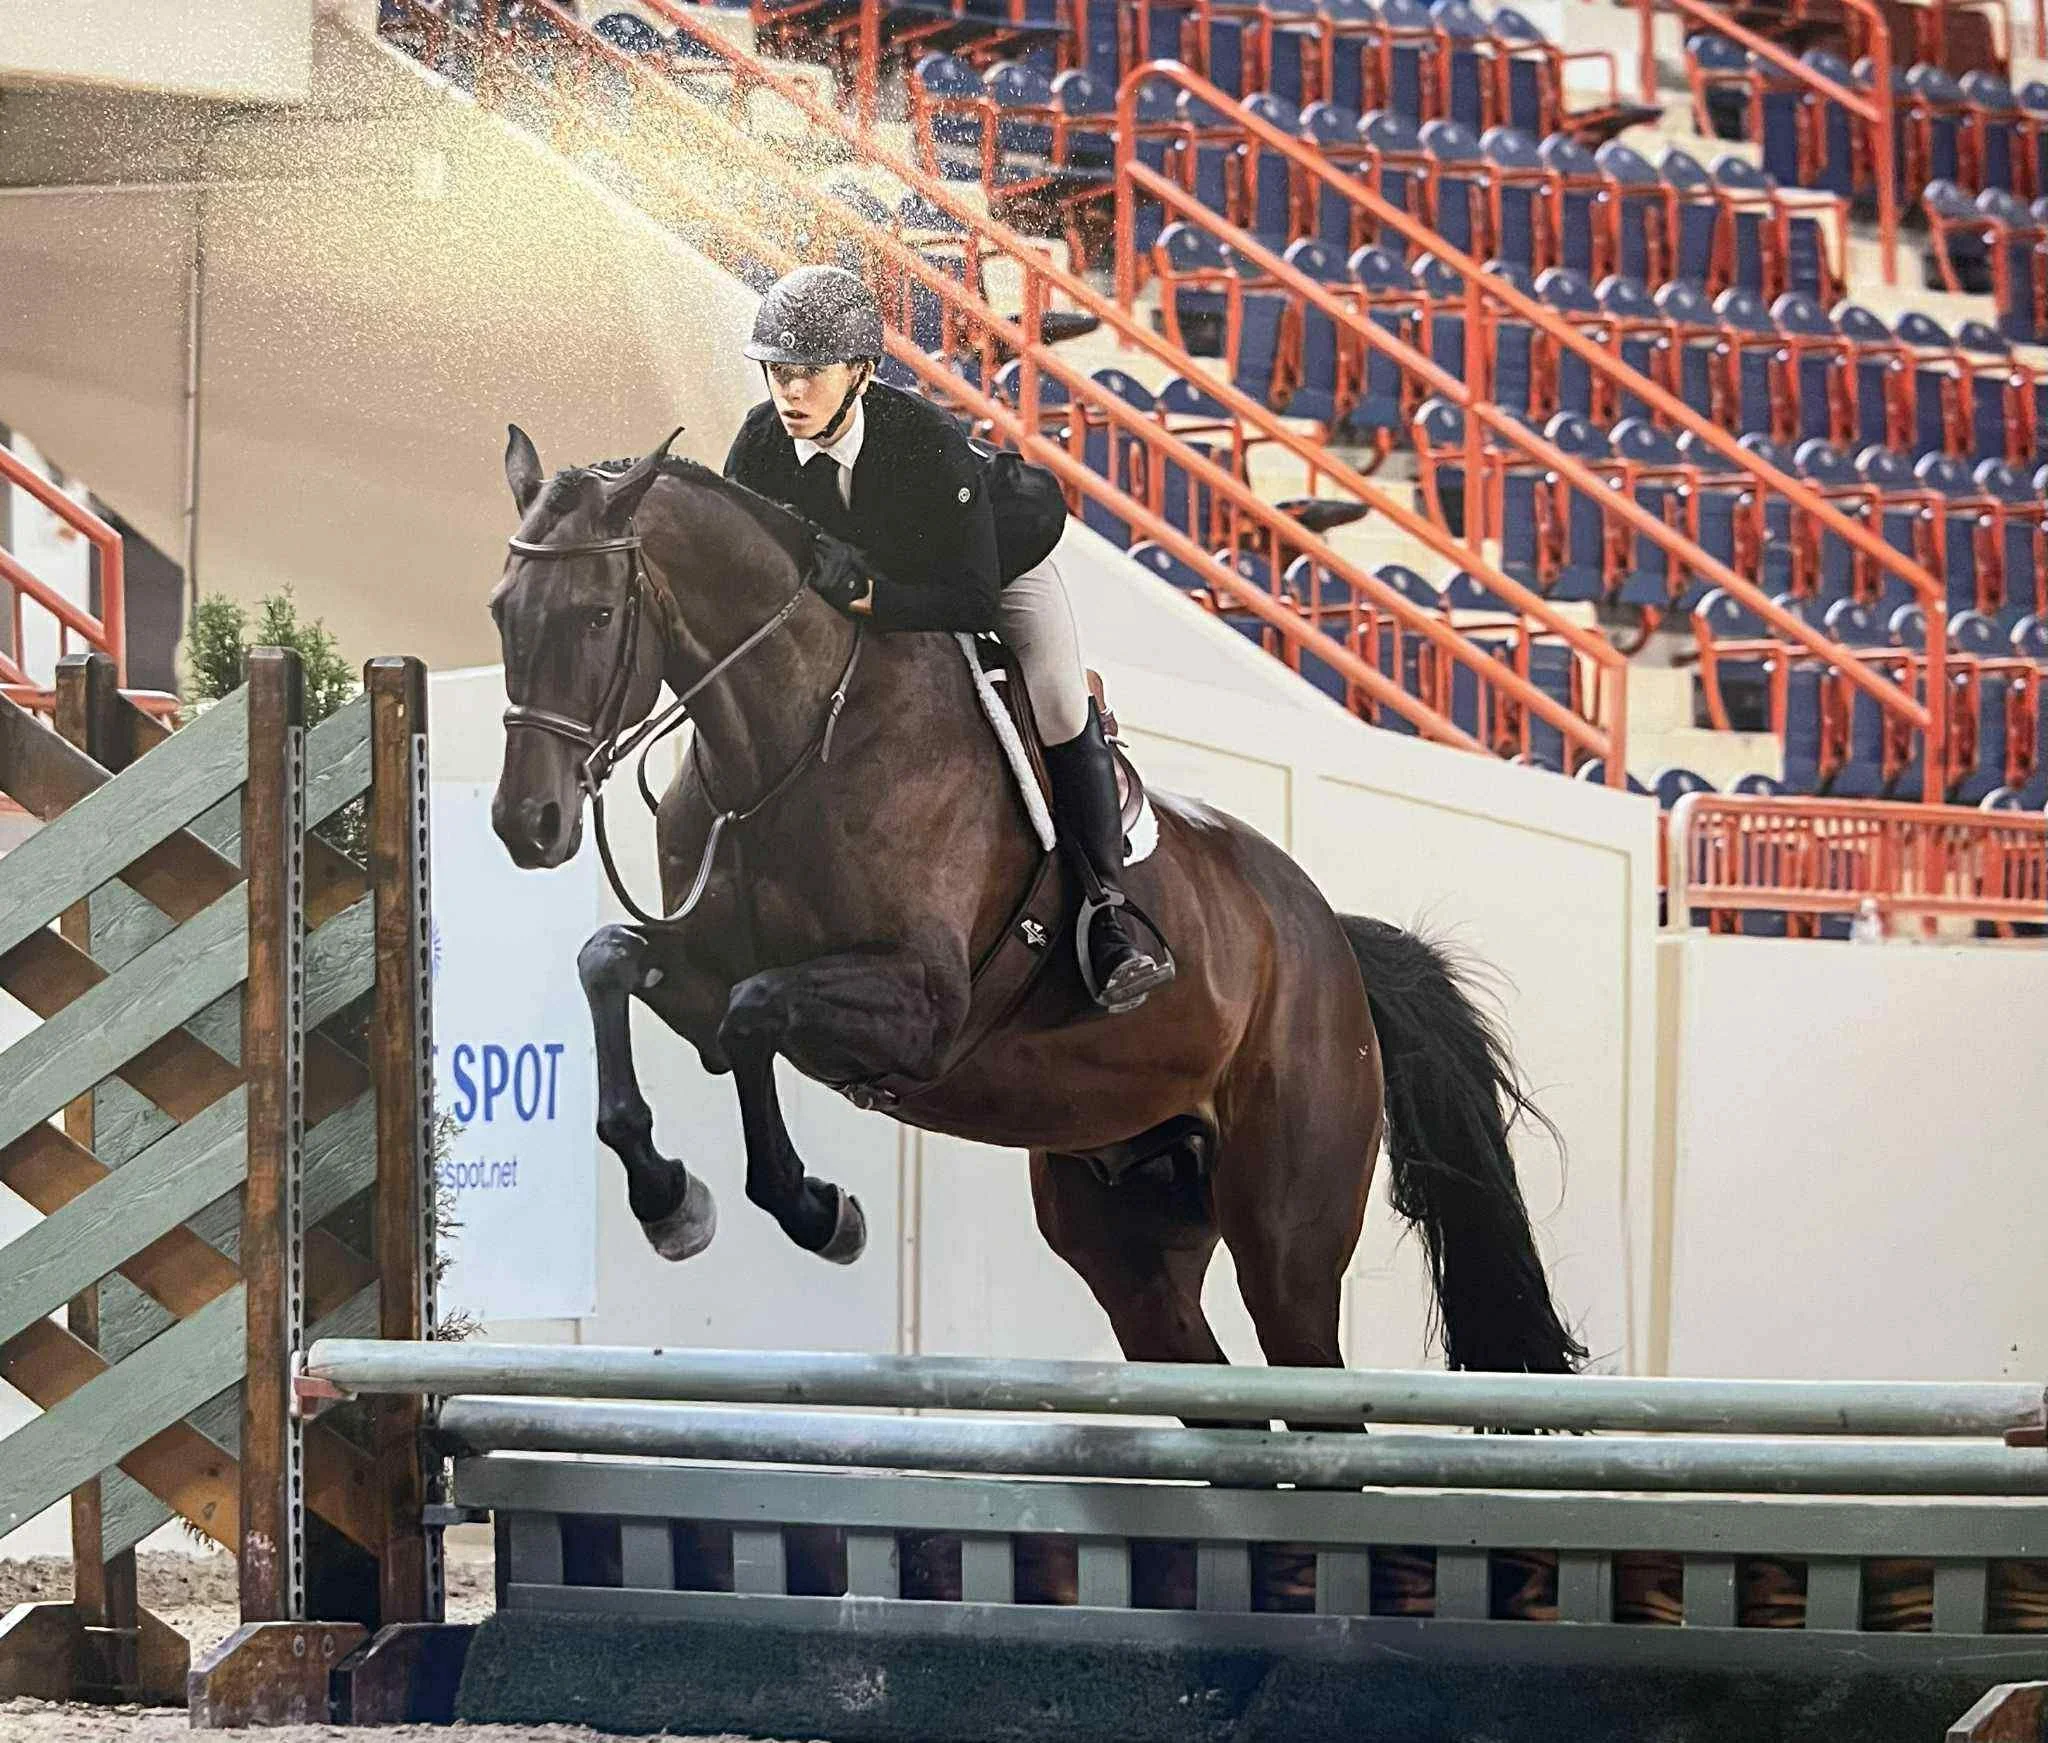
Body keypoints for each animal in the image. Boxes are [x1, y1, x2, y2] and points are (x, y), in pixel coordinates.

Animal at [488, 426, 1584, 1380]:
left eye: (596, 614)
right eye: (502, 609)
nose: (526, 824)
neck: (793, 740)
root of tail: (1332, 947)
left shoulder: (922, 1005)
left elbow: (753, 1012)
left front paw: (812, 1210)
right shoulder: (705, 966)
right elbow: (615, 964)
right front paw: (670, 1198)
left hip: (1286, 1234)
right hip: (1128, 1225)